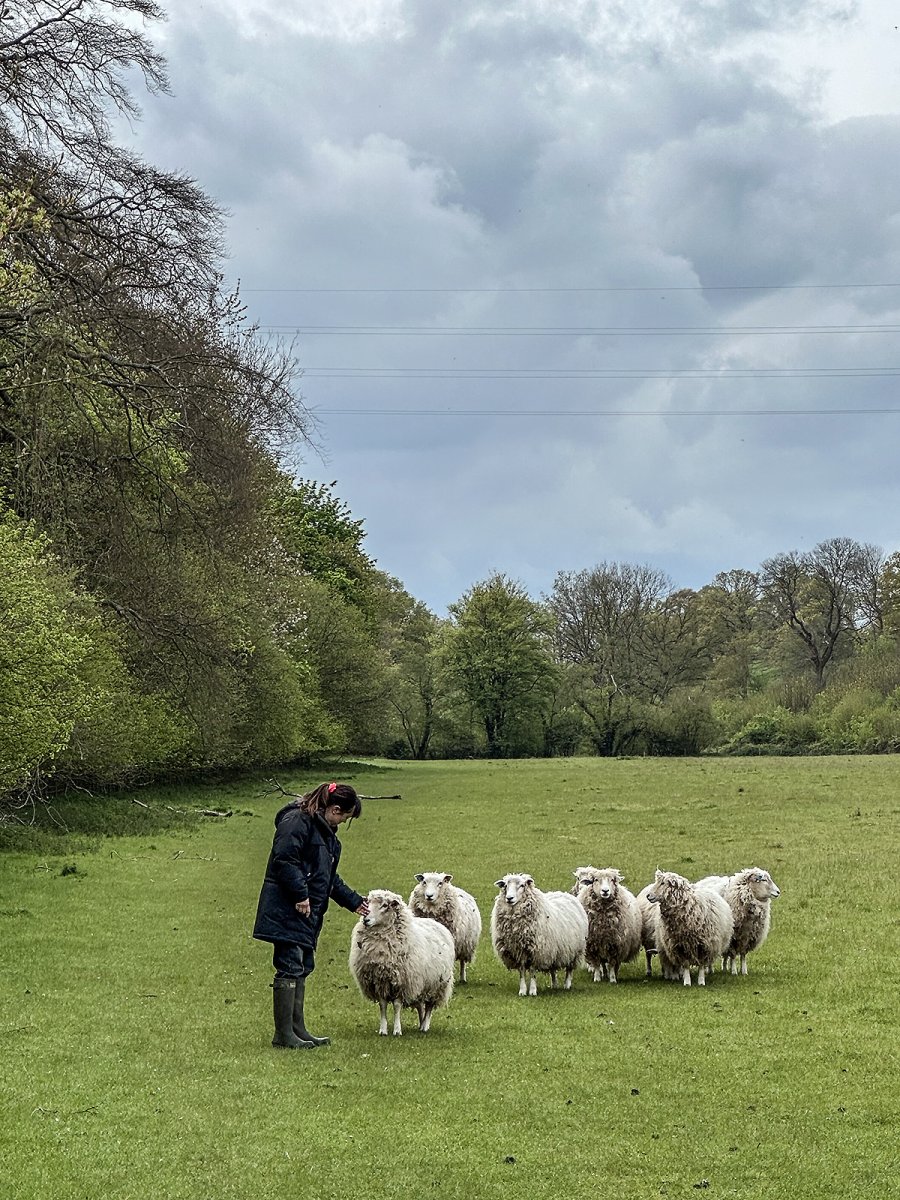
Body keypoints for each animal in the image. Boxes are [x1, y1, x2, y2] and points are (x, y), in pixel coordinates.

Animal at [348, 888, 453, 1036]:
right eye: (368, 903)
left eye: (385, 905)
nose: (366, 920)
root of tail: (435, 922)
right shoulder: (380, 981)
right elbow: (382, 1005)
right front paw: (383, 1030)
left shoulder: (401, 981)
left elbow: (397, 1005)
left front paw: (397, 1030)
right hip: (421, 984)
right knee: (420, 1006)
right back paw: (420, 1023)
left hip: (437, 984)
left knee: (429, 1007)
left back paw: (425, 1025)